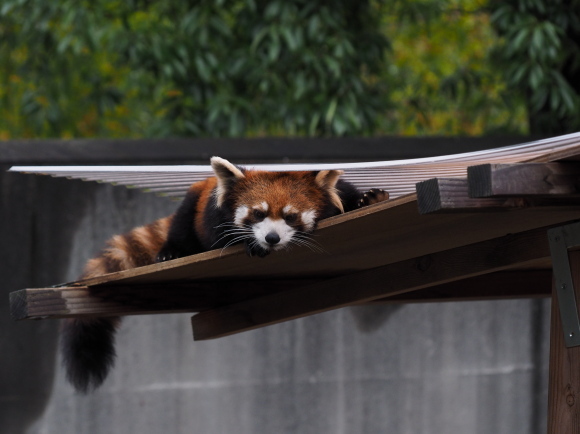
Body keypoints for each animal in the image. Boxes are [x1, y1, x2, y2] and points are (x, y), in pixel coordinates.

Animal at [61, 157, 390, 394]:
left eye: (290, 216)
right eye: (258, 213)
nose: (271, 238)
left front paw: (371, 199)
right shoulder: (213, 216)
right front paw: (251, 244)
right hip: (192, 202)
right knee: (180, 224)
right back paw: (170, 252)